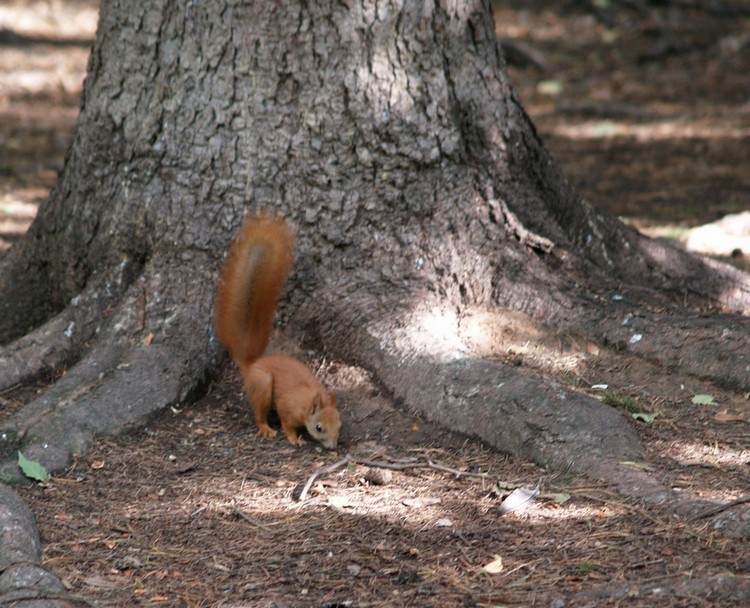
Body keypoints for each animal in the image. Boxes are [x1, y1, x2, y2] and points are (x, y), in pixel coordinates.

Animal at [216, 216, 342, 448]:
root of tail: (252, 364)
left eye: (339, 424)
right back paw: (265, 428)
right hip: (263, 383)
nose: (332, 446)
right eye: (319, 428)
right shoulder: (287, 407)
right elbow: (287, 424)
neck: (308, 401)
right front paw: (294, 439)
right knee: (259, 413)